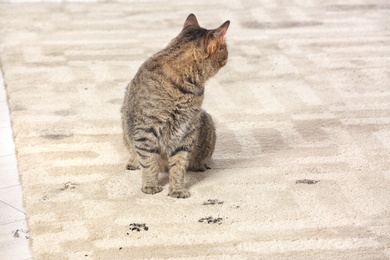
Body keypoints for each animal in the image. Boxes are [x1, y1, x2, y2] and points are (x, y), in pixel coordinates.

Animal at [120, 13, 227, 198]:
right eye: (225, 47)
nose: (228, 55)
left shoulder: (185, 132)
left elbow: (179, 165)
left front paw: (177, 189)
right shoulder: (146, 131)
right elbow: (149, 162)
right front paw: (150, 185)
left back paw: (200, 165)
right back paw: (133, 162)